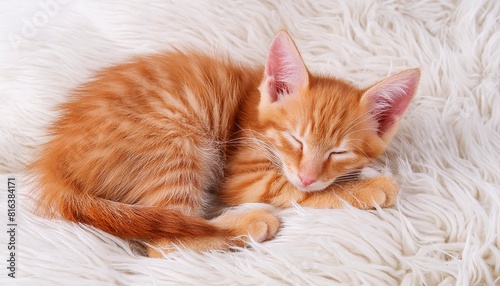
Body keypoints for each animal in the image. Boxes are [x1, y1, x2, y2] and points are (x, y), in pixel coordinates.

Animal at [28, 31, 418, 256]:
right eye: (295, 139)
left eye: (339, 152)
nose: (308, 175)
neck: (255, 109)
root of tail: (54, 165)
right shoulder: (246, 175)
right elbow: (296, 190)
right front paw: (367, 188)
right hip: (174, 140)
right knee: (166, 244)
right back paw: (249, 224)